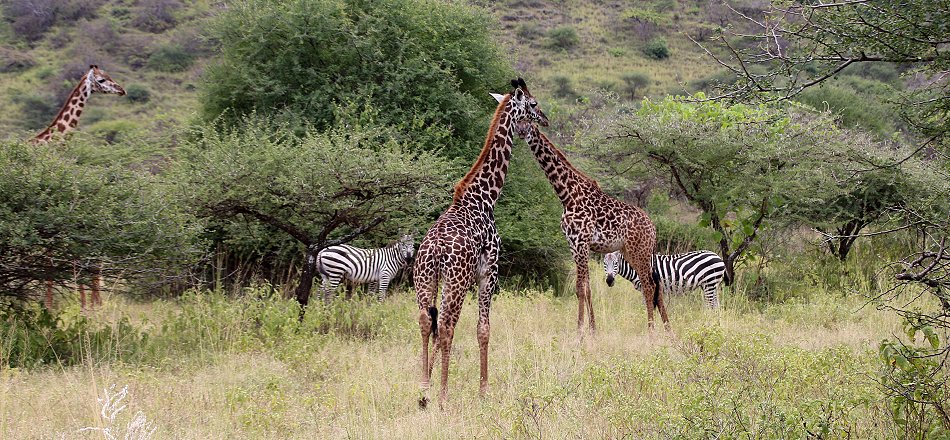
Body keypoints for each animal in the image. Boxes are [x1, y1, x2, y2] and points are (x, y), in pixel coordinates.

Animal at [416, 76, 552, 410]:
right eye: (532, 103)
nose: (544, 118)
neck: (484, 198)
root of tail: (434, 250)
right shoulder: (489, 270)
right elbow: (483, 329)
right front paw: (484, 391)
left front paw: (429, 386)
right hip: (456, 279)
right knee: (447, 327)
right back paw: (443, 397)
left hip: (426, 279)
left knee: (427, 322)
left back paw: (423, 391)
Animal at [498, 111, 668, 332]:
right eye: (519, 119)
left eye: (527, 122)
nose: (519, 132)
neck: (567, 195)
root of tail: (653, 228)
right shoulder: (574, 244)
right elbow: (587, 287)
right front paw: (592, 330)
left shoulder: (581, 242)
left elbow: (579, 287)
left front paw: (579, 331)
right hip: (632, 251)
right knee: (656, 285)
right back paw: (668, 329)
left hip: (639, 250)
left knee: (649, 285)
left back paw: (651, 330)